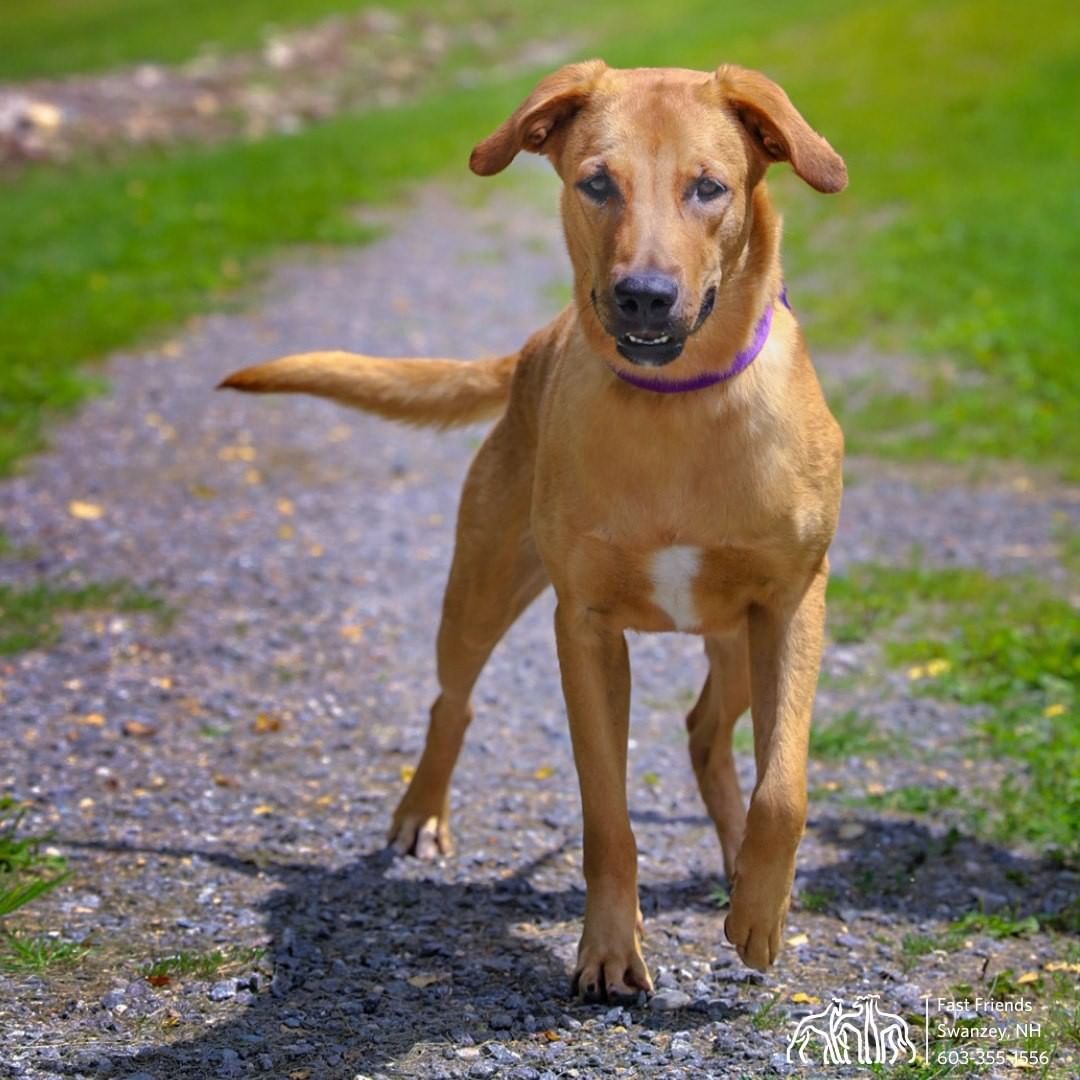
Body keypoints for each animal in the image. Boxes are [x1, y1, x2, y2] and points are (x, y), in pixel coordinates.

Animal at [219, 59, 846, 1002]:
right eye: (597, 183)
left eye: (709, 188)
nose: (643, 297)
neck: (679, 409)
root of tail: (527, 351)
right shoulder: (583, 630)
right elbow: (607, 817)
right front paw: (611, 949)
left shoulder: (791, 604)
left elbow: (786, 789)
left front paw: (761, 913)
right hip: (480, 588)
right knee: (453, 699)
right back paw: (421, 813)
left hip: (737, 641)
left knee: (708, 732)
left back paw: (738, 866)